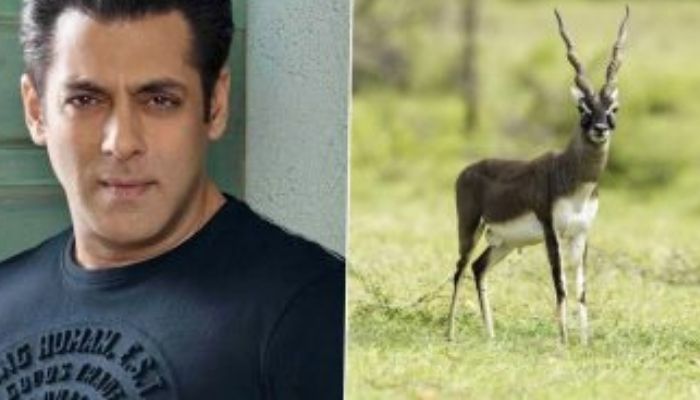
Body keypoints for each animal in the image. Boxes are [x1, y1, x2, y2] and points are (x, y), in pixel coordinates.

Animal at [447, 6, 630, 345]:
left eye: (614, 108)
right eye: (583, 107)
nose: (600, 129)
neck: (573, 180)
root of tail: (468, 170)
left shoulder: (582, 233)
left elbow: (581, 290)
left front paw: (585, 343)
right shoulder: (551, 231)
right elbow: (560, 285)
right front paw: (564, 342)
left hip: (504, 241)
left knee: (478, 267)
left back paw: (490, 335)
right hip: (470, 228)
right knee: (460, 268)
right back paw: (449, 333)